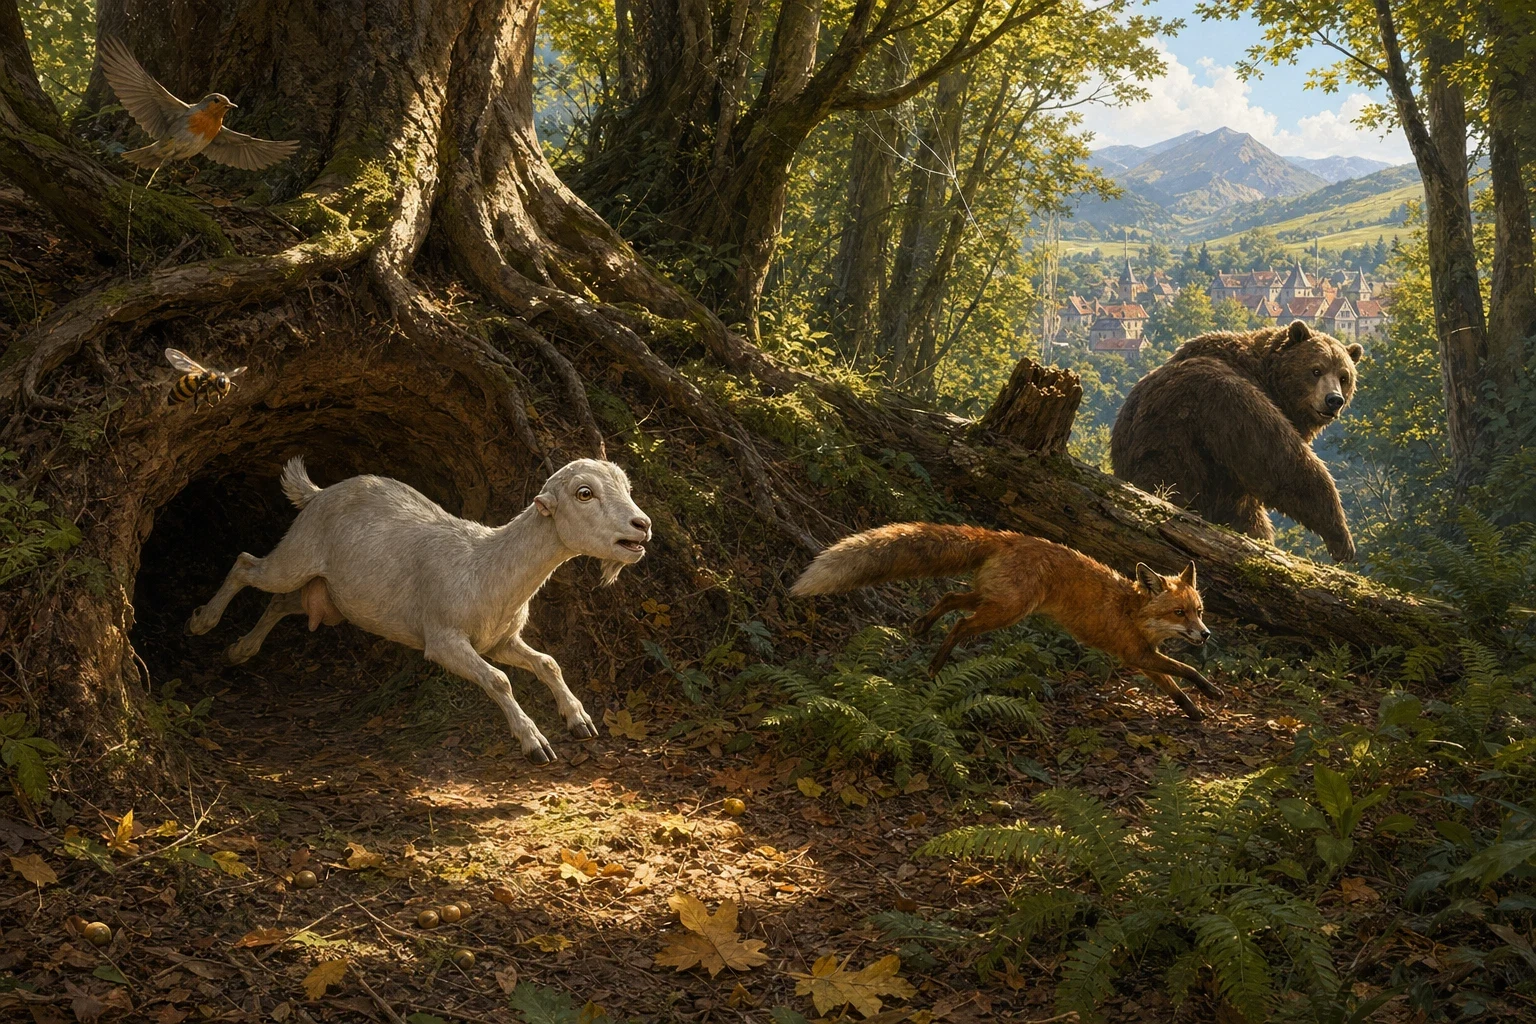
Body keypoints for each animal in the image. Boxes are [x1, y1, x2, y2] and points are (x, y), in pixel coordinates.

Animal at [187, 457, 652, 763]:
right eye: (584, 493)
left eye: (627, 487)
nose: (642, 525)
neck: (486, 566)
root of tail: (318, 493)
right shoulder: (444, 640)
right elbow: (499, 681)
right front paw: (533, 741)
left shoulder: (499, 641)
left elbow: (547, 663)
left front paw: (579, 719)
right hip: (296, 556)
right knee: (247, 565)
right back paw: (203, 622)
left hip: (329, 595)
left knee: (280, 601)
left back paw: (240, 651)